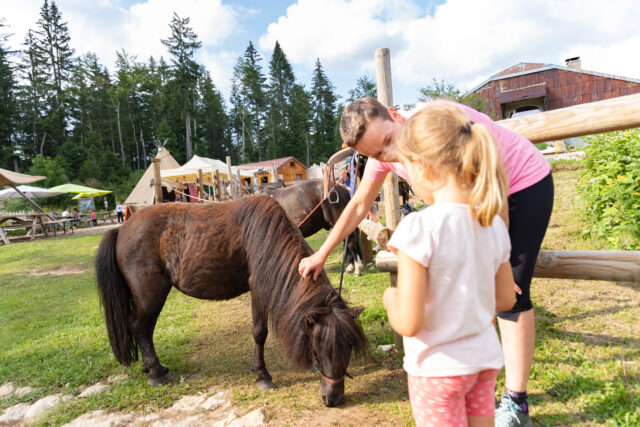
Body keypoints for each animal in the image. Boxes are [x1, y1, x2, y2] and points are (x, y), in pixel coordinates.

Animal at [94, 197, 364, 408]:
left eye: (349, 348)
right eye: (320, 348)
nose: (333, 398)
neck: (266, 236)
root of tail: (121, 230)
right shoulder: (258, 289)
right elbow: (259, 333)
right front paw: (262, 375)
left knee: (145, 330)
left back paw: (156, 369)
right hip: (149, 295)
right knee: (138, 327)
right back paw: (155, 373)